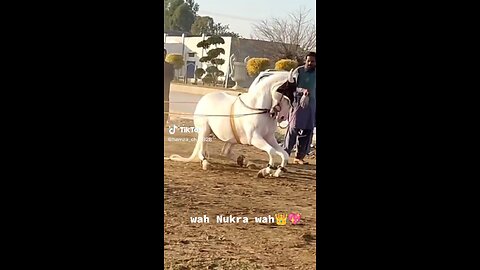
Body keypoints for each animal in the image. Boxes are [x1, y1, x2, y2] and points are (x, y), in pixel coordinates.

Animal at [167, 69, 298, 177]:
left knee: (225, 152)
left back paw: (246, 162)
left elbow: (284, 154)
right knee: (202, 149)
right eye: (286, 95)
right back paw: (206, 163)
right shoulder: (255, 138)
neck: (257, 109)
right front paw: (266, 171)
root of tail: (204, 99)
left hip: (232, 138)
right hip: (205, 131)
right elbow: (272, 151)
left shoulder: (269, 137)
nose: (282, 117)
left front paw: (278, 172)